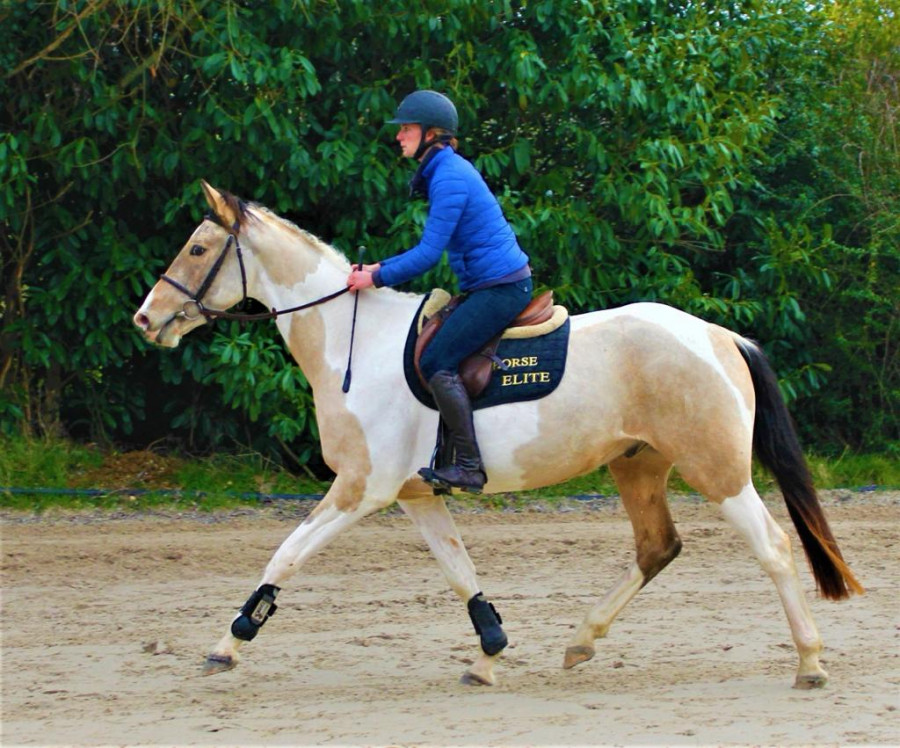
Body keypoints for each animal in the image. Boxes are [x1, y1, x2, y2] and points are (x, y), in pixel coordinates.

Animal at [133, 181, 863, 689]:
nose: (146, 318)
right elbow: (461, 573)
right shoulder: (414, 495)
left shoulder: (361, 489)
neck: (354, 344)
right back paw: (581, 640)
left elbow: (284, 556)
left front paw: (228, 643)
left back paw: (810, 662)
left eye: (197, 248)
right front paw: (489, 656)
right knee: (658, 548)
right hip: (638, 465)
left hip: (717, 470)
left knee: (772, 547)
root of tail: (720, 336)